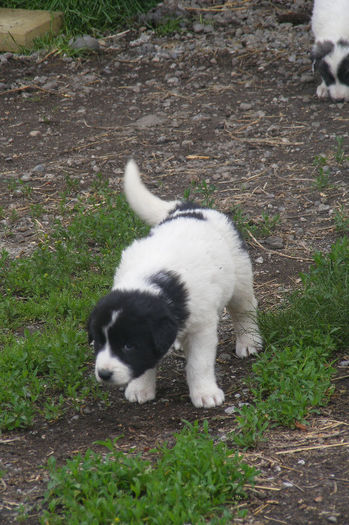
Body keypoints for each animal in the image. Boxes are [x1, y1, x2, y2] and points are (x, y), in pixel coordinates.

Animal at [87, 162, 260, 408]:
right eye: (99, 342)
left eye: (128, 345)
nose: (104, 374)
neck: (154, 283)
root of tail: (189, 208)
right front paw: (140, 388)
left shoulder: (202, 328)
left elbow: (199, 364)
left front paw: (205, 393)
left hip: (240, 277)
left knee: (244, 309)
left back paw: (249, 342)